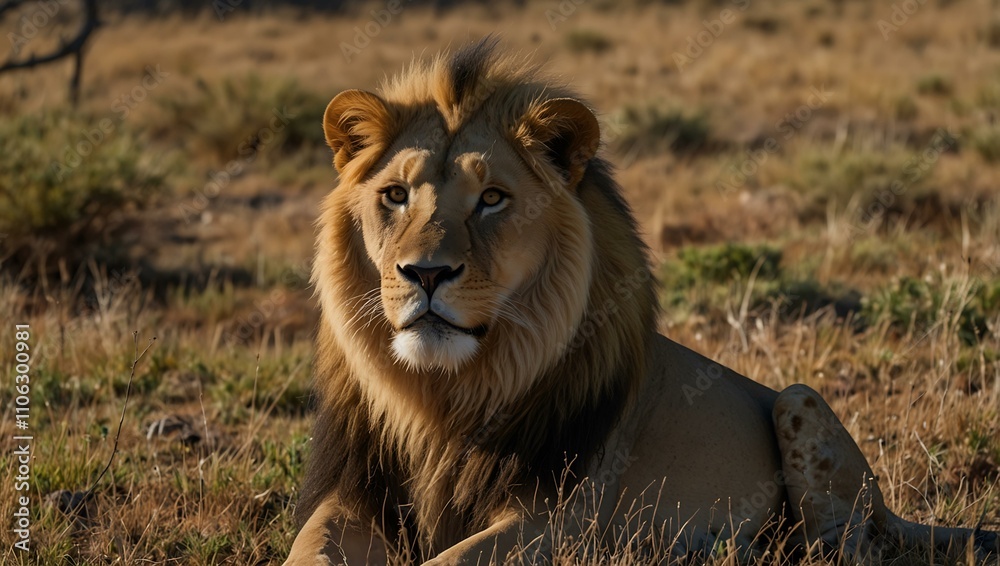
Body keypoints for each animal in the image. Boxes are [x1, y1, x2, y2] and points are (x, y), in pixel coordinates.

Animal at [286, 39, 999, 565]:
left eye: (492, 199)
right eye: (395, 195)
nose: (425, 273)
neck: (444, 395)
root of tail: (888, 504)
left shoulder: (559, 515)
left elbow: (452, 558)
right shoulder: (356, 495)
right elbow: (309, 552)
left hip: (800, 402)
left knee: (844, 549)